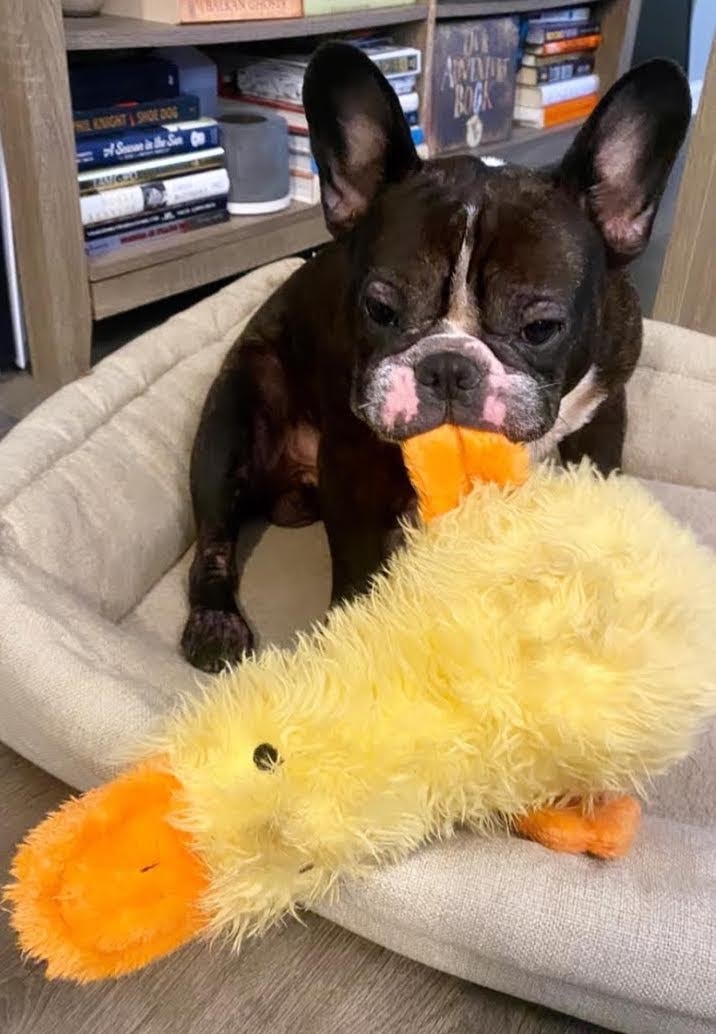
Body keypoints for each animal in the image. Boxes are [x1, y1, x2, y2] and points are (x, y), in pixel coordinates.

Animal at [182, 42, 691, 670]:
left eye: (541, 327)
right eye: (379, 309)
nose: (448, 366)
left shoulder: (604, 412)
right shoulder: (353, 460)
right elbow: (357, 568)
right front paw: (353, 639)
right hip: (230, 419)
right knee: (213, 537)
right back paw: (214, 621)